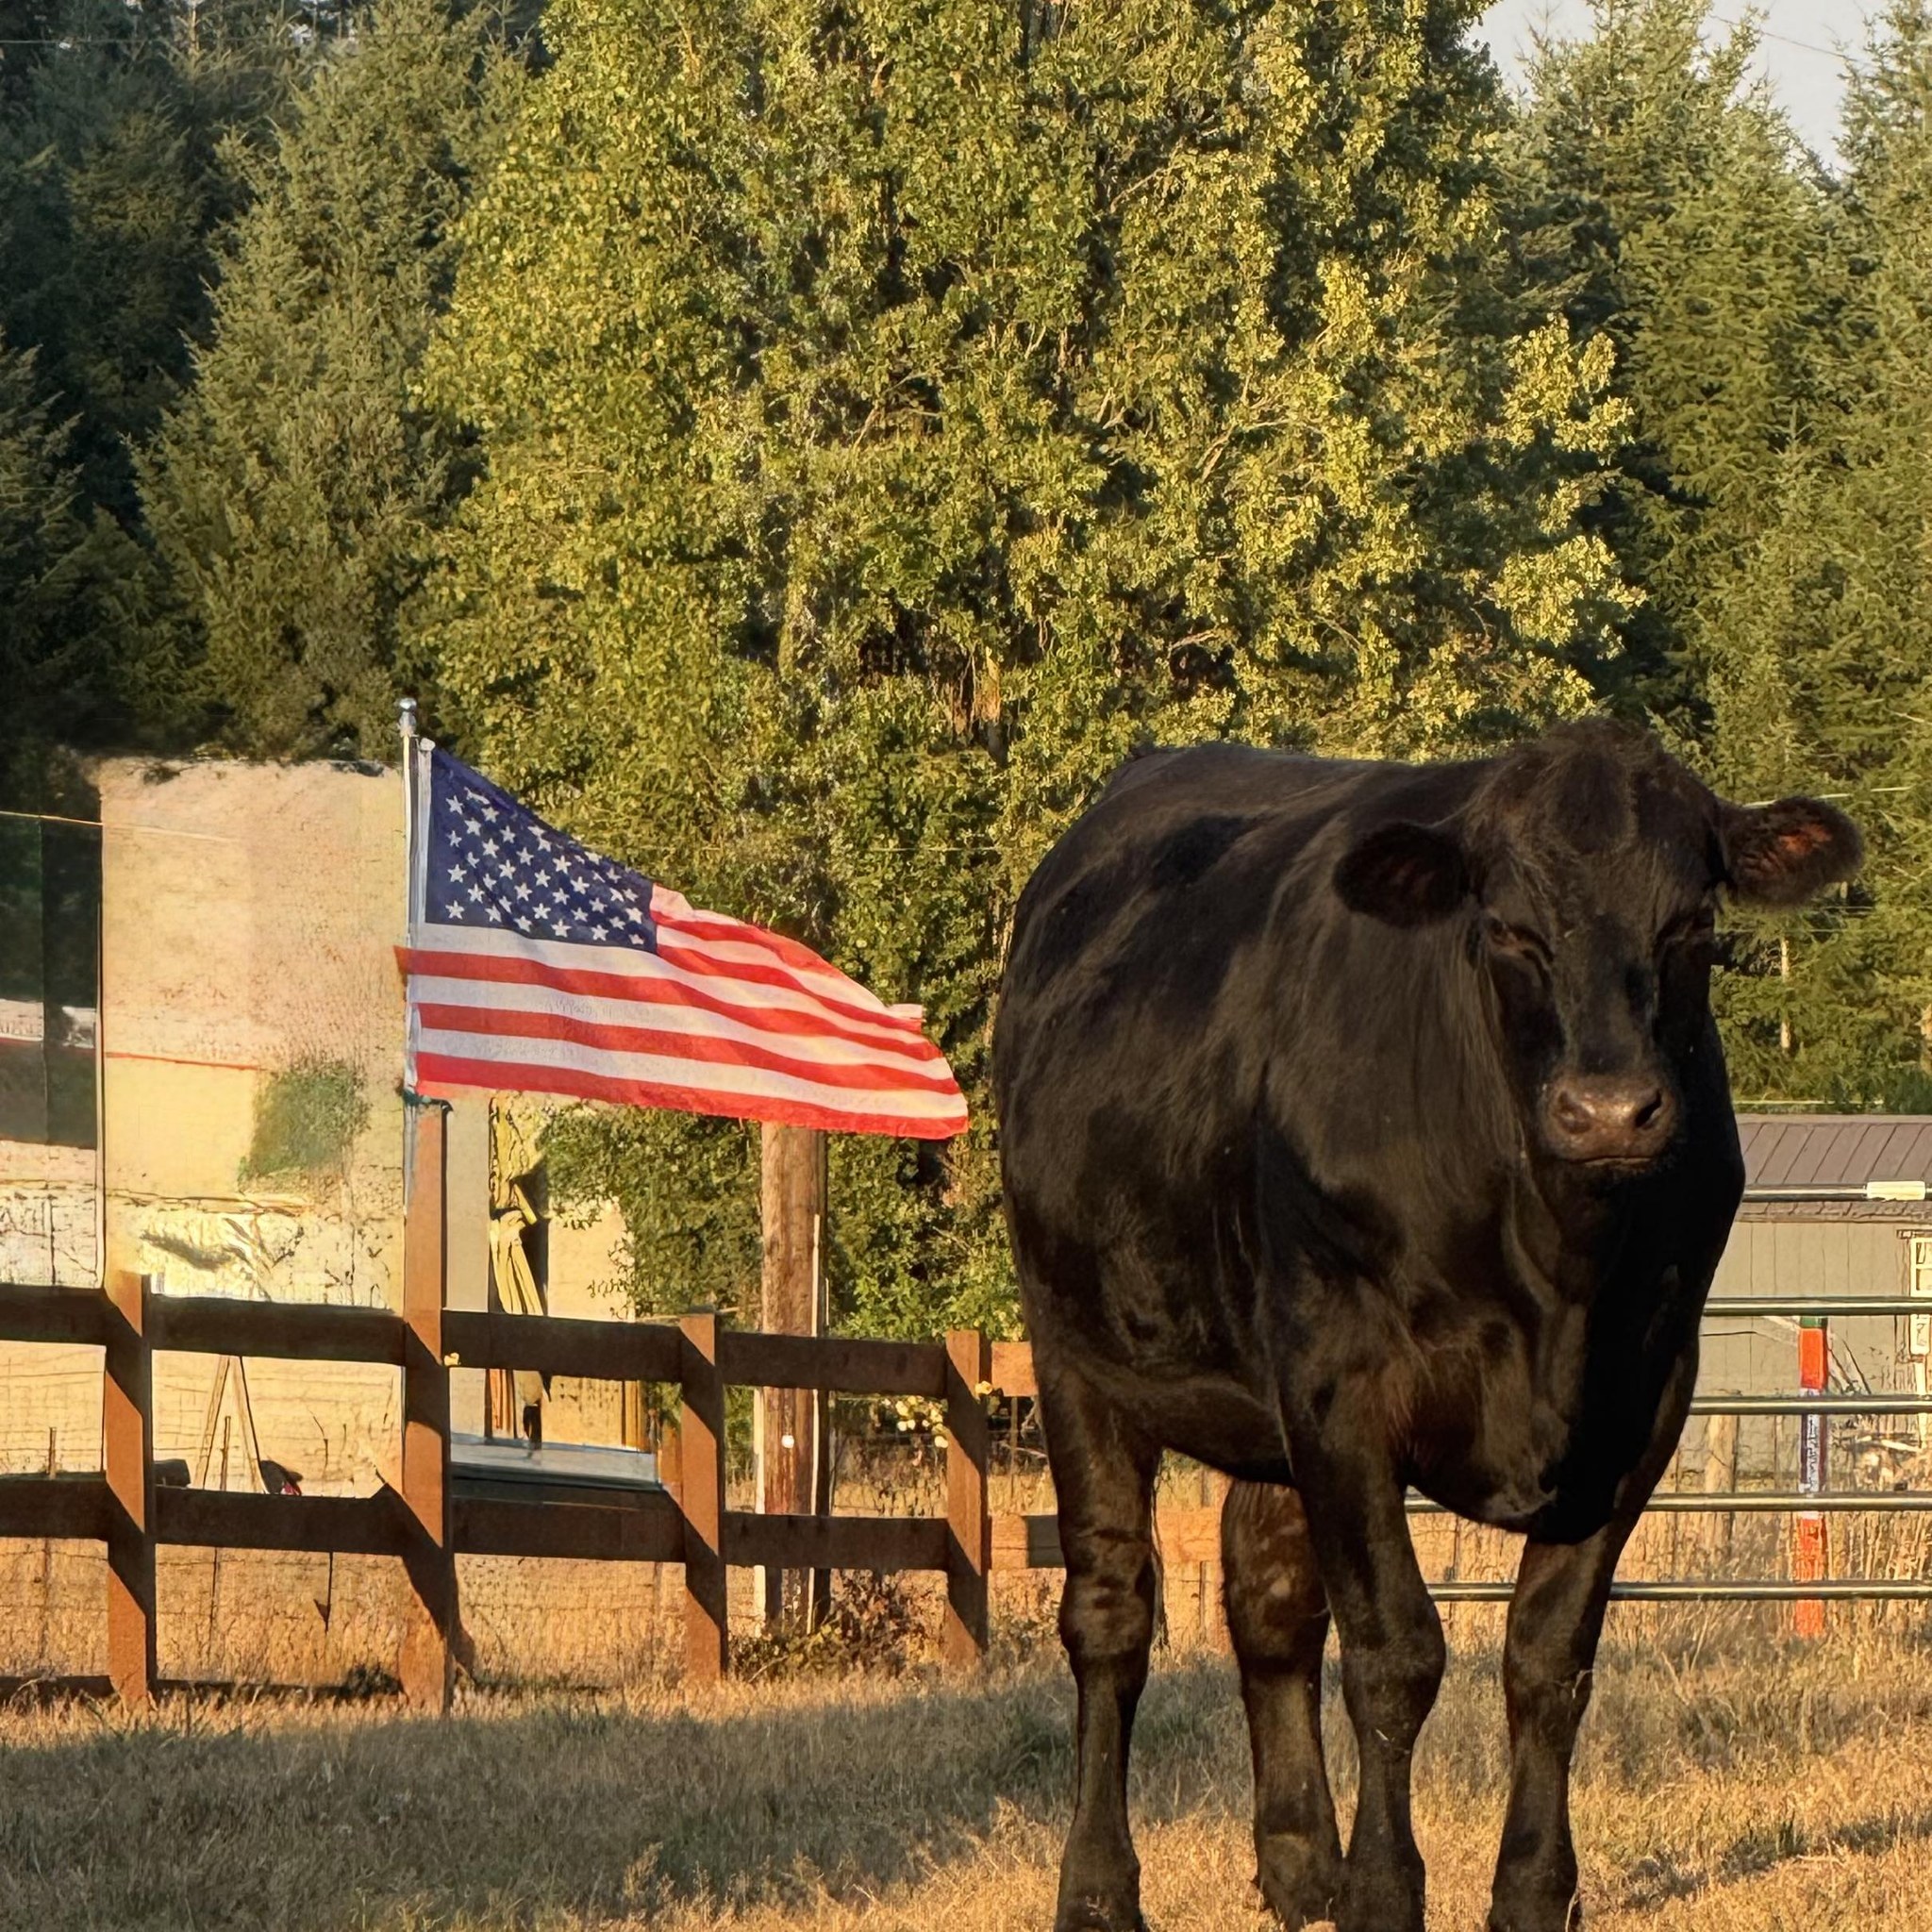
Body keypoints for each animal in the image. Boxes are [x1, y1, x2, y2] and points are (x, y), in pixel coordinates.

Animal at [992, 719, 1861, 1932]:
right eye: (1502, 927)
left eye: (1690, 921)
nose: (1607, 1110)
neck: (1554, 1267)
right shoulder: (1341, 1384)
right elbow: (1392, 1650)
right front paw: (1382, 1888)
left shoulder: (1641, 1398)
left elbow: (1547, 1655)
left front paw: (1531, 1889)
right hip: (1075, 1348)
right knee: (1111, 1612)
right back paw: (1097, 1888)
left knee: (1267, 1595)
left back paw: (1298, 1862)